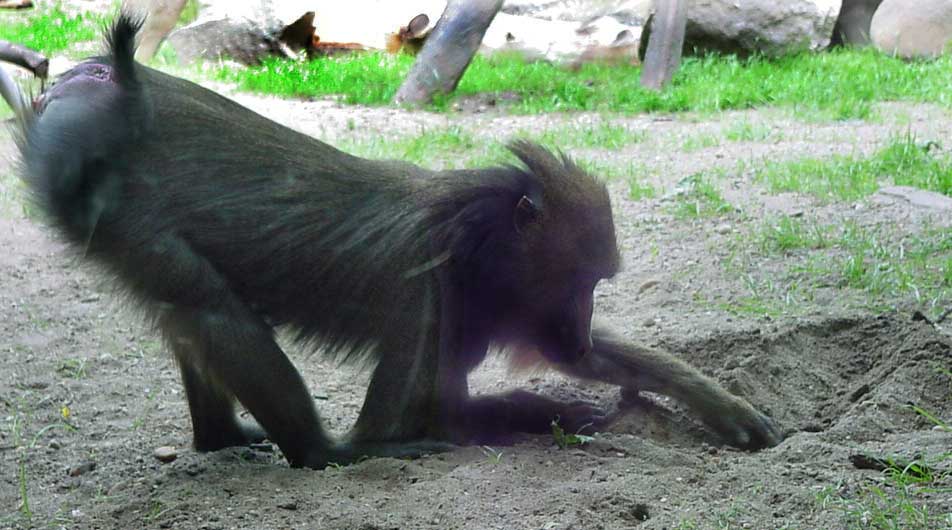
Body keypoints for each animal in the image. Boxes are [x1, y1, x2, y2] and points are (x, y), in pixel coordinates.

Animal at [12, 15, 782, 469]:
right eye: (579, 281)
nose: (581, 325)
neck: (474, 240)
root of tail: (110, 85)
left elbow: (589, 364)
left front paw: (725, 408)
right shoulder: (421, 290)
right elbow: (416, 422)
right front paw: (551, 413)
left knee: (191, 317)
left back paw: (222, 439)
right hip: (120, 214)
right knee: (211, 310)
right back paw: (325, 453)